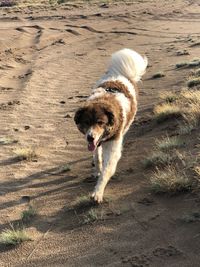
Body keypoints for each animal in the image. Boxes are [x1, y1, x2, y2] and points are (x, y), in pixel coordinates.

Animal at [74, 48, 148, 203]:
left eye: (100, 123)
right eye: (86, 122)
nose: (90, 137)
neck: (104, 101)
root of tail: (120, 74)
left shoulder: (113, 143)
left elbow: (107, 169)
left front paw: (98, 192)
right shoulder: (96, 143)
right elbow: (97, 158)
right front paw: (97, 170)